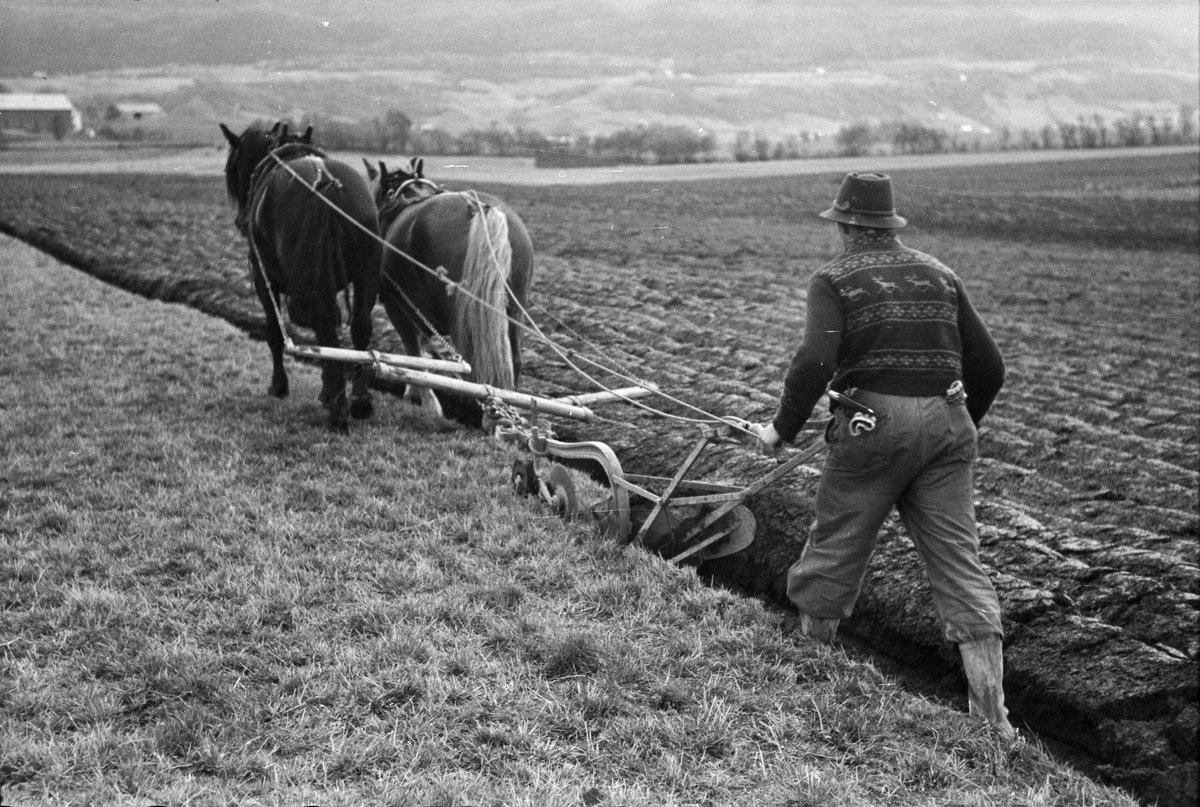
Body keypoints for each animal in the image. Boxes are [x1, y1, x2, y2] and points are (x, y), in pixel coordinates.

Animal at [219, 120, 379, 432]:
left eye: (233, 168)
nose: (241, 220)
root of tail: (327, 183)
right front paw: (327, 391)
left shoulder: (264, 280)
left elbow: (274, 333)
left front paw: (279, 386)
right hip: (365, 275)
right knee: (359, 326)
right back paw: (359, 400)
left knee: (325, 325)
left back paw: (338, 409)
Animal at [364, 159, 535, 420]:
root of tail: (480, 208)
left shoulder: (397, 306)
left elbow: (415, 354)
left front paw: (425, 401)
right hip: (515, 311)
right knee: (512, 360)